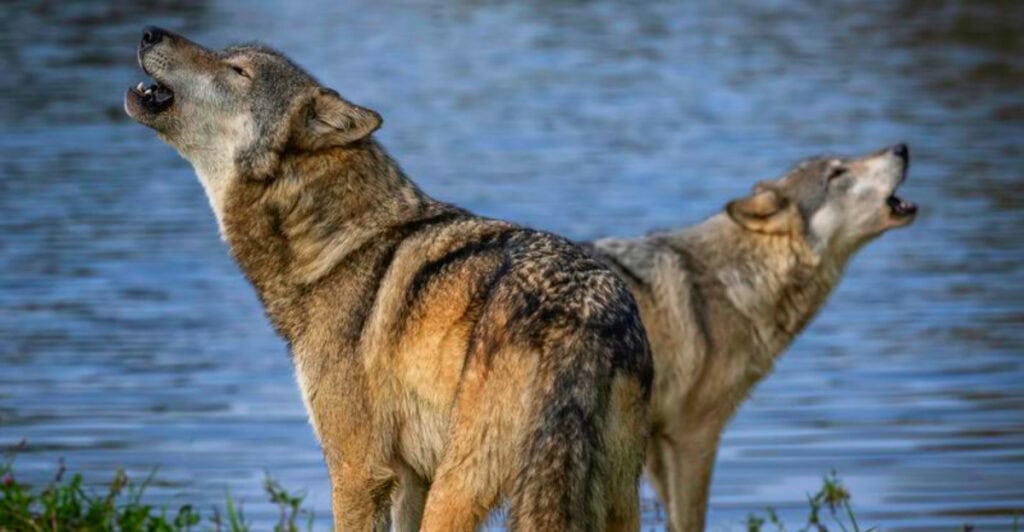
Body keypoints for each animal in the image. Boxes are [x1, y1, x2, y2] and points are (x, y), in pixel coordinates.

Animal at [124, 26, 653, 531]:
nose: (149, 32)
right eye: (227, 55)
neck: (335, 248)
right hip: (615, 502)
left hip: (456, 491)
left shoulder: (357, 471)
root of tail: (585, 318)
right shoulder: (409, 478)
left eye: (238, 71)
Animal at [587, 145, 917, 531]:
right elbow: (690, 521)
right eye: (837, 174)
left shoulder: (656, 441)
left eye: (844, 163)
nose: (902, 148)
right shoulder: (693, 436)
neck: (735, 279)